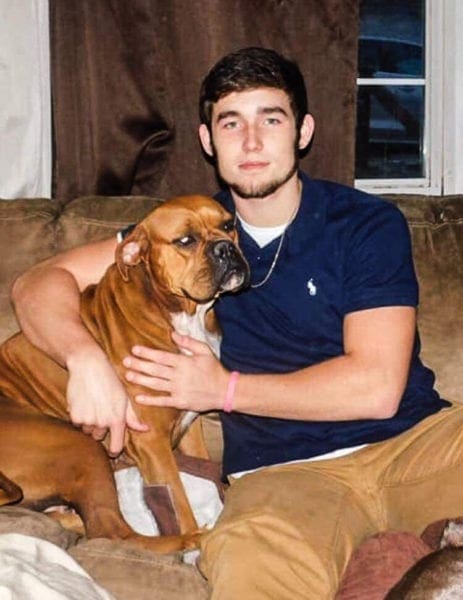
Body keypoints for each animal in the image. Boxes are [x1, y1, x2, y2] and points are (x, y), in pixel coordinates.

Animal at [0, 195, 250, 552]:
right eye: (185, 240)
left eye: (229, 225)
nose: (226, 248)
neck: (180, 313)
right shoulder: (152, 440)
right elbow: (178, 499)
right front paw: (191, 529)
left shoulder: (189, 427)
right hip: (81, 445)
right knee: (113, 531)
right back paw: (191, 539)